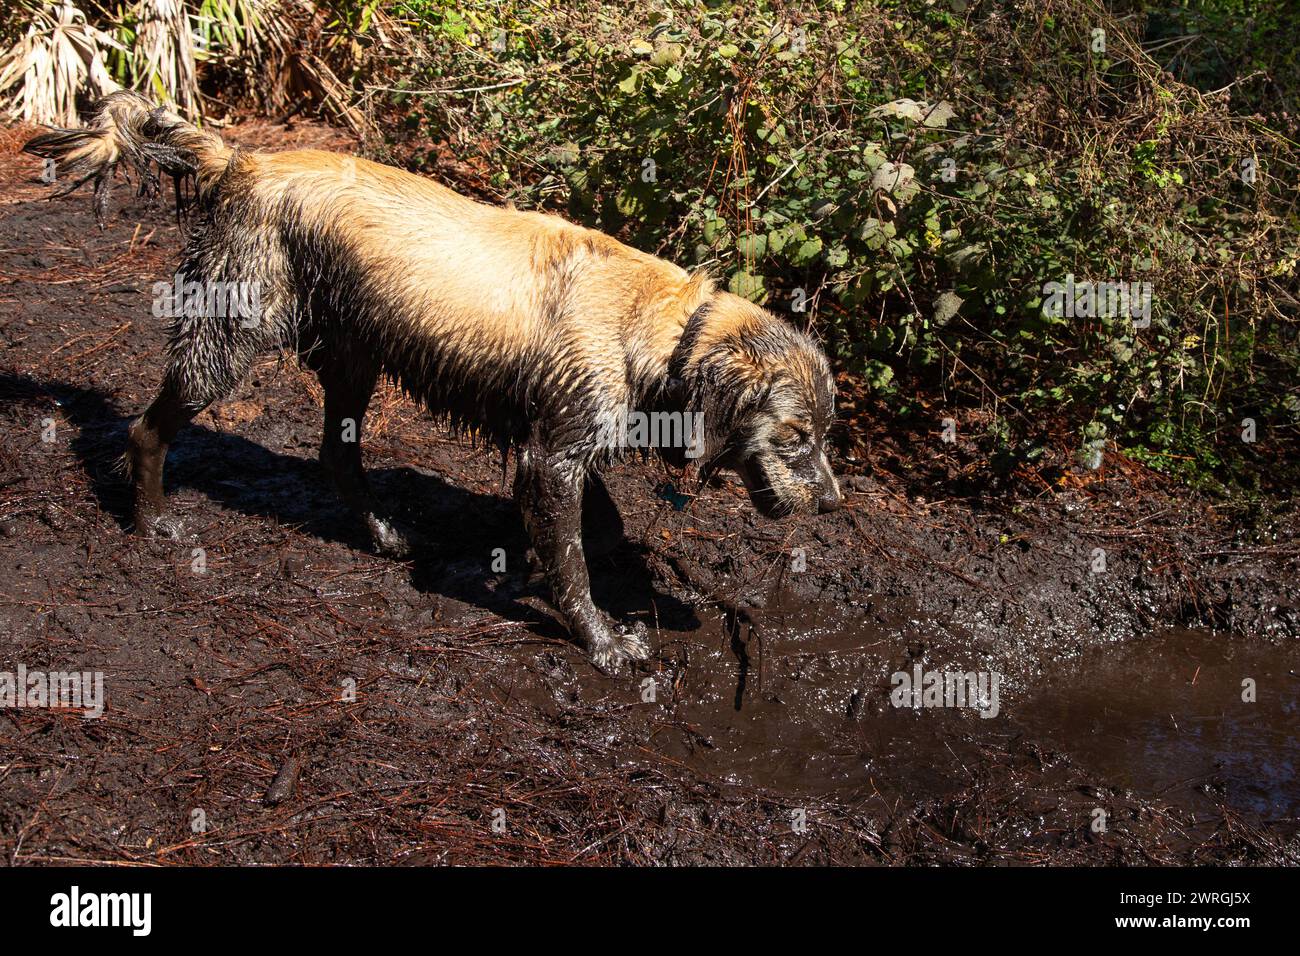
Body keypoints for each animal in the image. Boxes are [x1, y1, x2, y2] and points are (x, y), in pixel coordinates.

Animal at [30, 91, 847, 671]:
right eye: (795, 437)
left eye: (826, 434)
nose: (836, 504)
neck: (660, 326)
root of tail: (241, 160)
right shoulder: (553, 455)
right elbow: (574, 561)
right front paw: (604, 640)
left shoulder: (561, 442)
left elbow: (590, 531)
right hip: (229, 338)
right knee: (147, 425)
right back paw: (153, 521)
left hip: (353, 359)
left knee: (336, 455)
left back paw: (384, 534)